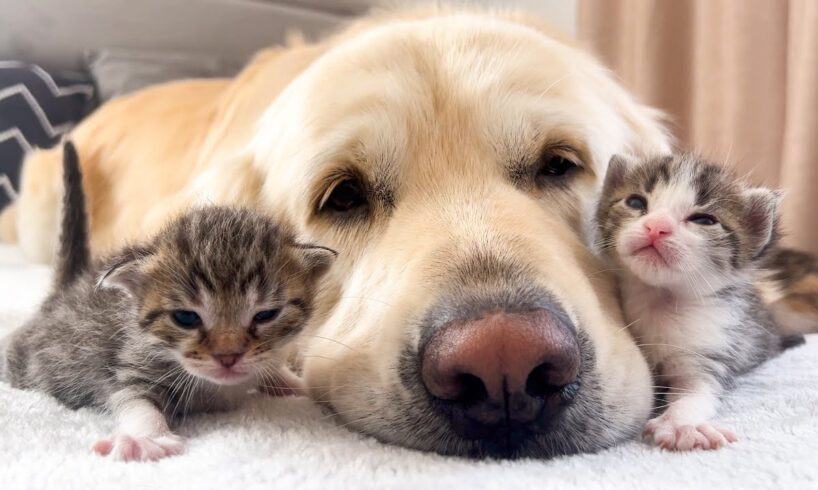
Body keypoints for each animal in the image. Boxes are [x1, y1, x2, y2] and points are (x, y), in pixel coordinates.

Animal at [0, 141, 334, 460]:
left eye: (266, 315)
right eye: (186, 318)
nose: (228, 357)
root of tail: (66, 288)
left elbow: (271, 365)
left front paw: (296, 384)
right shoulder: (131, 361)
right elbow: (134, 399)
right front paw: (144, 437)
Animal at [588, 154, 800, 452]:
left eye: (703, 219)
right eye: (636, 202)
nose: (656, 226)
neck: (659, 297)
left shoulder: (709, 346)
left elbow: (697, 390)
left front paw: (681, 425)